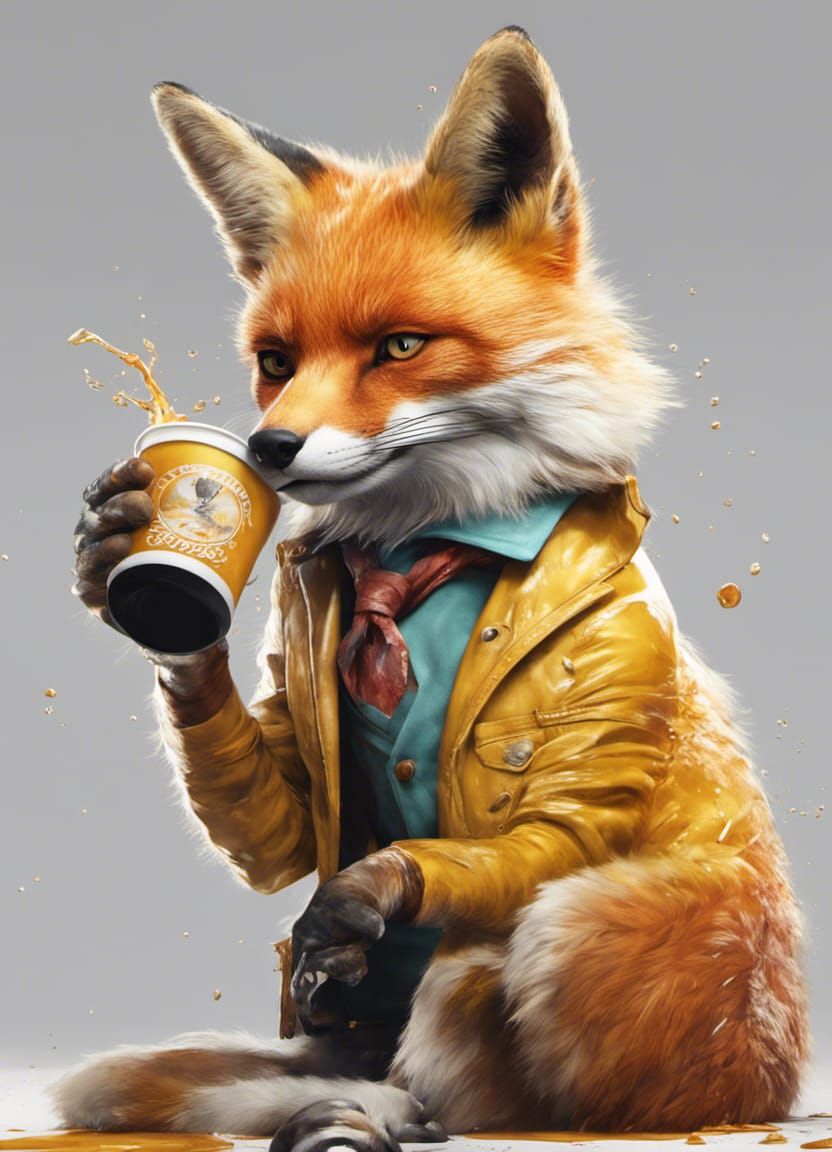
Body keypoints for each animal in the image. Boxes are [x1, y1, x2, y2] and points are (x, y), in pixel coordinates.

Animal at [59, 24, 808, 1150]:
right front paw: (129, 563)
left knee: (501, 1082)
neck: (420, 547)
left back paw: (388, 1105)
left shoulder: (614, 649)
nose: (267, 451)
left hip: (566, 936)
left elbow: (517, 840)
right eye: (275, 361)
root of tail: (772, 1093)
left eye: (400, 347)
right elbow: (282, 824)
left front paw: (364, 901)